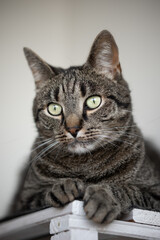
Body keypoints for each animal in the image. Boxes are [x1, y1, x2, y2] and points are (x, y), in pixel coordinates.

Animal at [14, 31, 159, 224]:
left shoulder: (155, 193)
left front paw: (104, 195)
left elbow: (128, 189)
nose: (73, 128)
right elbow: (42, 194)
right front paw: (62, 186)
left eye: (93, 101)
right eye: (54, 109)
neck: (84, 168)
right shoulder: (23, 202)